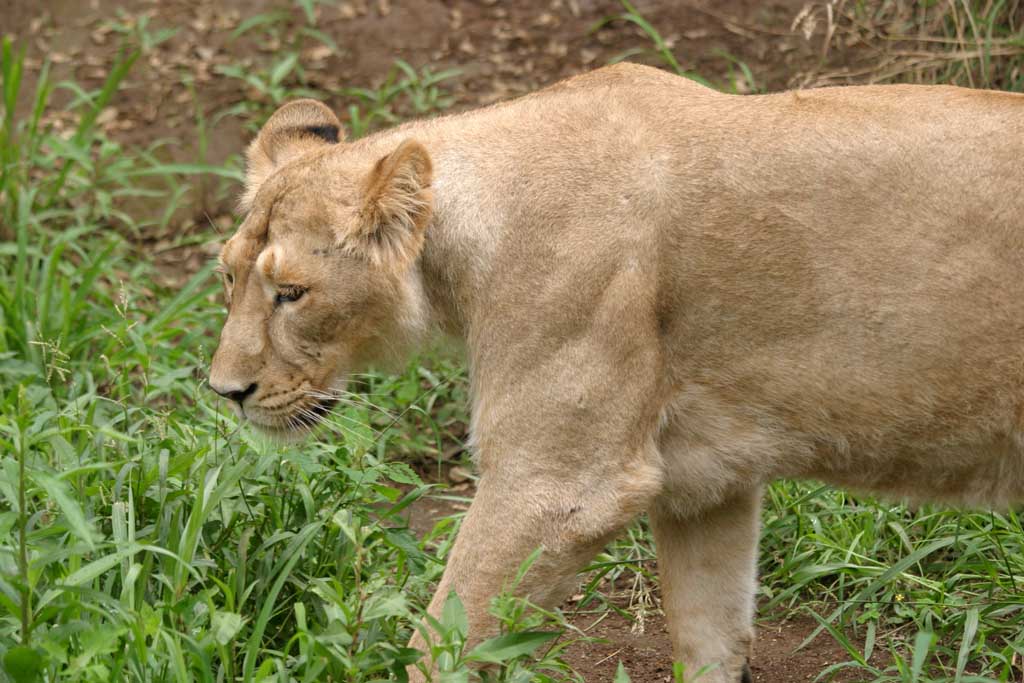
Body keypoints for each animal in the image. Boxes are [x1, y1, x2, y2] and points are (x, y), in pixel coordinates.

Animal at [207, 61, 1024, 679]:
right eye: (228, 276)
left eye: (291, 293)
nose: (225, 392)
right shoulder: (708, 486)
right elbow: (710, 637)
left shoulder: (562, 484)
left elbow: (441, 644)